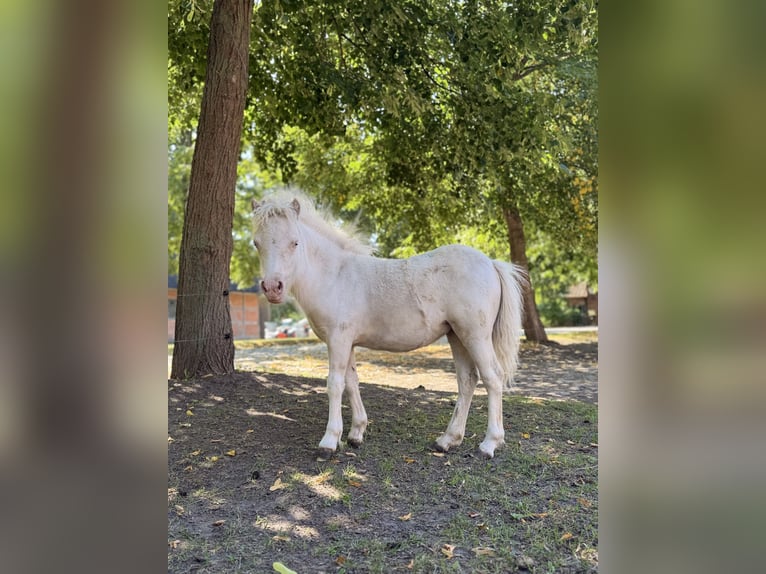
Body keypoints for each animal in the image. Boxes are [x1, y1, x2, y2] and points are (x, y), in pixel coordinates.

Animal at [251, 192, 526, 459]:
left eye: (295, 242)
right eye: (256, 243)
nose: (272, 288)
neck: (335, 275)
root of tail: (491, 263)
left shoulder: (338, 340)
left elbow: (335, 384)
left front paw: (330, 440)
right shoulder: (348, 343)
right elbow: (352, 382)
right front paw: (355, 434)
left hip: (475, 336)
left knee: (493, 378)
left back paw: (489, 444)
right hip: (457, 336)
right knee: (467, 380)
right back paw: (447, 440)